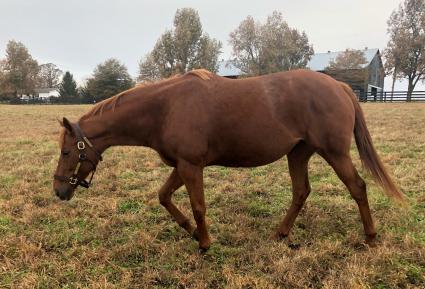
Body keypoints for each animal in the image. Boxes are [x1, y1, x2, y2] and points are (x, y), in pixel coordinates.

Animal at [53, 68, 400, 251]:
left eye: (67, 151)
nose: (59, 190)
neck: (164, 109)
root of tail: (340, 86)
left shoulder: (191, 166)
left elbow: (198, 206)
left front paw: (205, 242)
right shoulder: (182, 165)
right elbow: (164, 197)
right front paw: (192, 231)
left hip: (335, 153)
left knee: (357, 187)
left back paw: (370, 237)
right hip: (298, 153)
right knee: (301, 192)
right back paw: (281, 233)